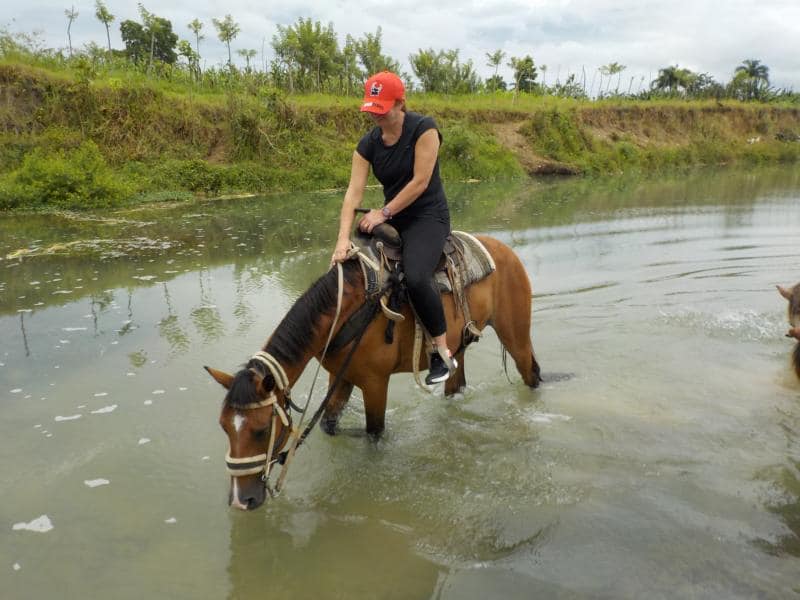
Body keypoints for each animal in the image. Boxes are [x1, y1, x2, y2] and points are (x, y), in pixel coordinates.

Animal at [205, 234, 541, 510]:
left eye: (262, 430)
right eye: (224, 427)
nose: (241, 501)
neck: (347, 310)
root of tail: (504, 249)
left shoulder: (374, 383)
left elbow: (374, 433)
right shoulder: (341, 377)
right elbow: (329, 425)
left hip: (515, 335)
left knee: (531, 373)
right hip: (457, 347)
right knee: (455, 385)